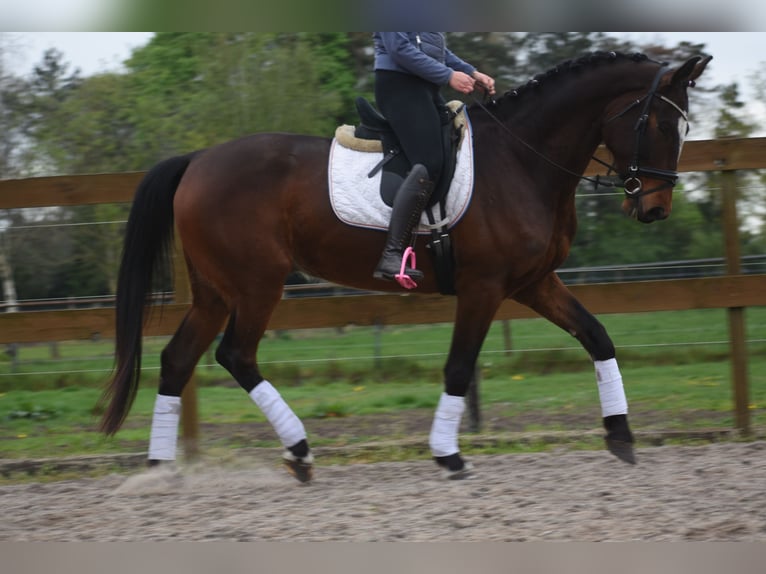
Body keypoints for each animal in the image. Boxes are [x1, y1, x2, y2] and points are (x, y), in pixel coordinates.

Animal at [100, 51, 711, 482]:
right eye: (659, 125)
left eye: (684, 130)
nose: (654, 209)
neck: (522, 160)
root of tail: (199, 160)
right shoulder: (484, 287)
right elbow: (459, 368)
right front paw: (449, 456)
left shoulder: (533, 283)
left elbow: (597, 336)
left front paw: (621, 435)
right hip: (256, 284)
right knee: (235, 355)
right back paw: (298, 451)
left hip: (216, 290)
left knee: (178, 360)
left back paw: (161, 472)